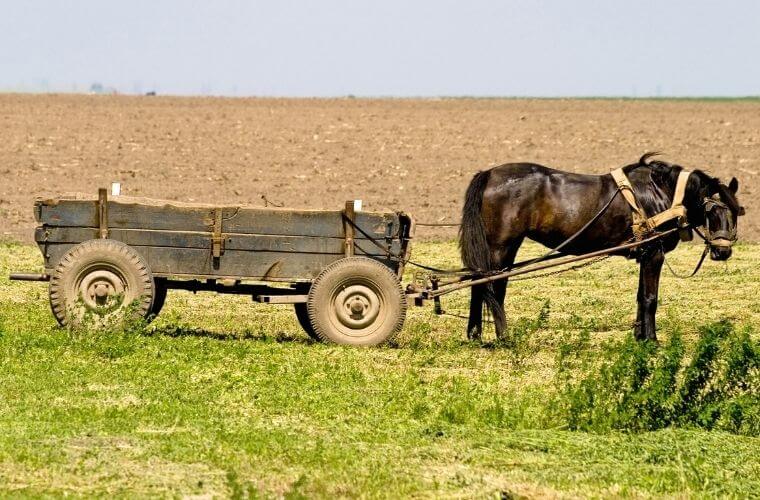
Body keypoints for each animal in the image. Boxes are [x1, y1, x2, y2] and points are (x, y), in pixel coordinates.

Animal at [460, 154, 744, 342]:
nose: (723, 252)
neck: (662, 194)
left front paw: (639, 336)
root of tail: (490, 174)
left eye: (736, 211)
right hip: (502, 246)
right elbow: (650, 298)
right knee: (491, 285)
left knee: (478, 282)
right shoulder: (654, 253)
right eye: (712, 209)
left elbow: (640, 296)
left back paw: (475, 335)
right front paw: (652, 340)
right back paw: (502, 336)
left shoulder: (644, 254)